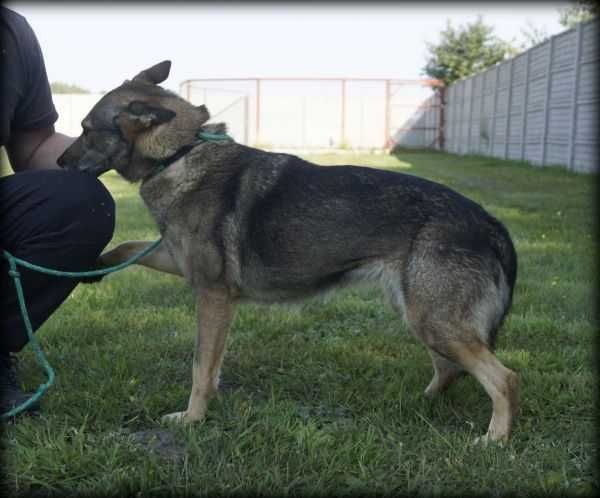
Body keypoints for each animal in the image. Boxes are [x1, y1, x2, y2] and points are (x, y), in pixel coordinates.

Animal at [57, 60, 520, 442]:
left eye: (85, 129)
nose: (59, 163)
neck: (180, 153)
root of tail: (488, 222)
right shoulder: (182, 264)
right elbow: (128, 246)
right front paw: (92, 266)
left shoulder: (212, 296)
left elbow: (200, 368)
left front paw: (192, 419)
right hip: (419, 314)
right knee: (450, 370)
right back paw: (414, 403)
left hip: (433, 320)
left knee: (503, 378)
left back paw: (494, 439)